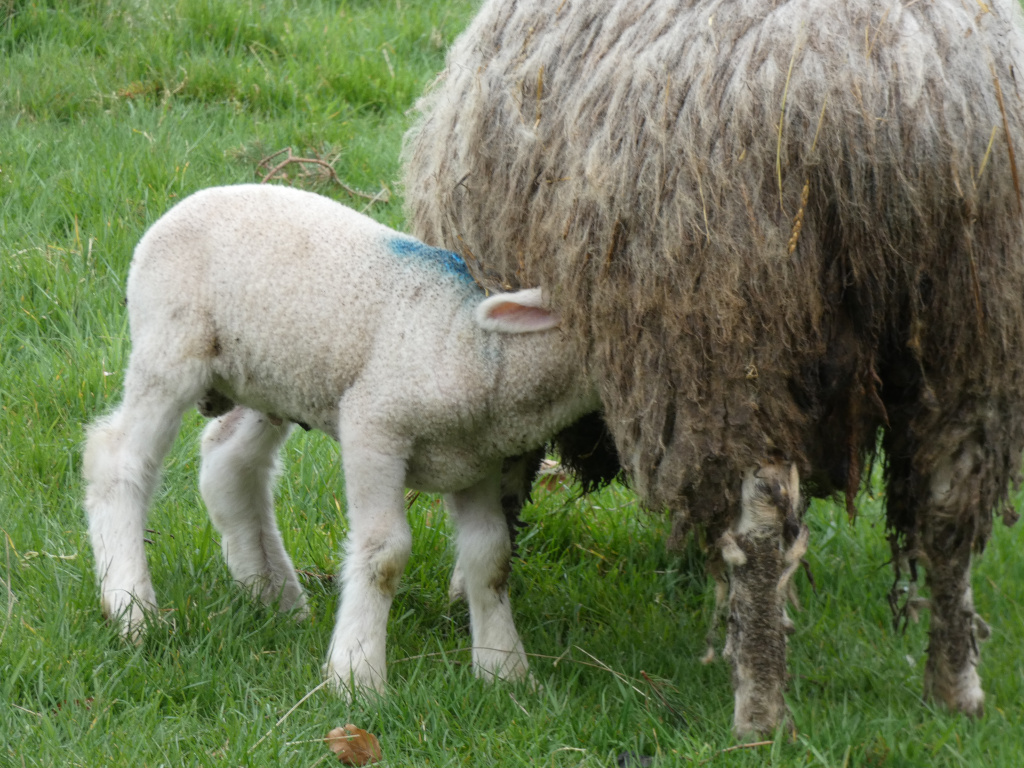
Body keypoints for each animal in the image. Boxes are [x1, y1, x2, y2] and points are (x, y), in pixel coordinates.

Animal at [82, 183, 599, 693]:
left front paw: (504, 669)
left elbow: (490, 555)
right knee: (117, 458)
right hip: (171, 347)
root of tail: (182, 206)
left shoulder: (477, 465)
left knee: (228, 462)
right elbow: (384, 553)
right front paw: (357, 676)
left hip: (271, 378)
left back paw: (274, 594)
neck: (482, 351)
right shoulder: (374, 426)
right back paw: (132, 609)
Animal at [401, 0, 1024, 736]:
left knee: (761, 527)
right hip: (974, 331)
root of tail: (894, 97)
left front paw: (465, 591)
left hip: (729, 338)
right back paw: (956, 689)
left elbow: (501, 485)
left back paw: (759, 708)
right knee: (951, 509)